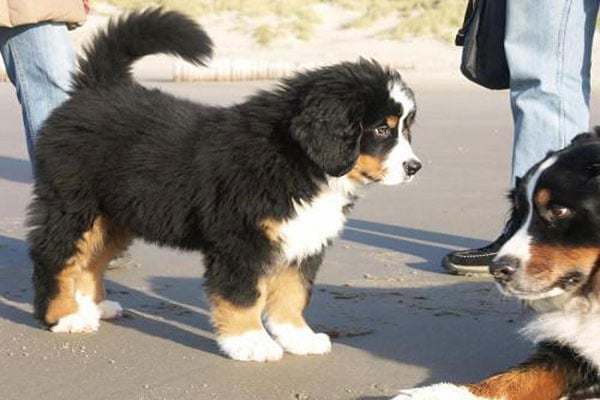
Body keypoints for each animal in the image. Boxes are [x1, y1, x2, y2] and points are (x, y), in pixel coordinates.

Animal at [29, 8, 422, 362]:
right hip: (74, 205)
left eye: (405, 128)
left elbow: (293, 294)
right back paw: (65, 316)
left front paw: (298, 337)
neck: (298, 160)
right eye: (381, 129)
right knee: (56, 255)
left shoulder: (303, 239)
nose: (414, 167)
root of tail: (99, 87)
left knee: (91, 260)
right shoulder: (241, 240)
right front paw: (251, 342)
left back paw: (92, 307)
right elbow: (243, 295)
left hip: (116, 216)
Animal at [392, 130, 600, 396]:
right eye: (519, 212)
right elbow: (512, 380)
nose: (497, 270)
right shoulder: (570, 353)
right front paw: (436, 393)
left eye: (559, 210)